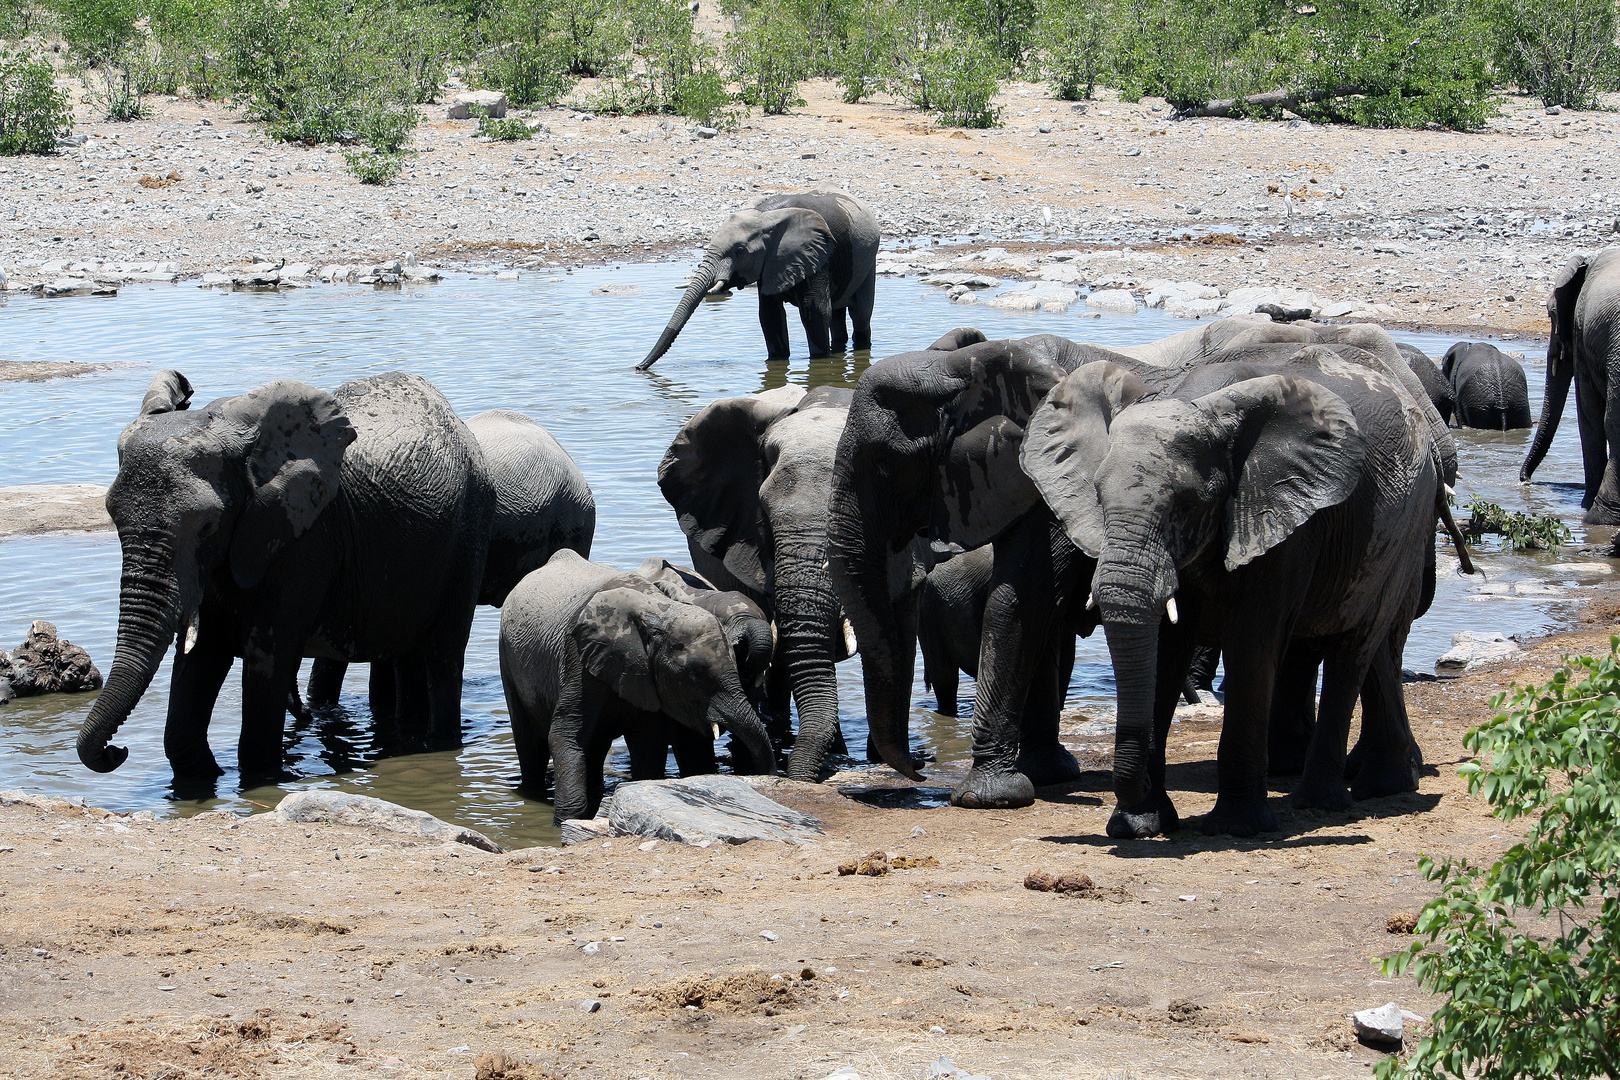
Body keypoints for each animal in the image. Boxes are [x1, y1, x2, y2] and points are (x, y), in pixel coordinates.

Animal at [78, 367, 489, 780]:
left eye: (208, 525)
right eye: (111, 515)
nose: (118, 750)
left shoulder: (306, 539)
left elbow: (267, 658)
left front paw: (259, 780)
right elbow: (202, 655)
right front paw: (208, 777)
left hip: (468, 533)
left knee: (443, 654)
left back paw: (439, 743)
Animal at [498, 553, 777, 822]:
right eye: (693, 677)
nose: (770, 778)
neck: (660, 611)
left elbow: (649, 743)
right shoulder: (577, 657)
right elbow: (567, 734)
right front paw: (566, 821)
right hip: (507, 658)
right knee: (529, 742)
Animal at [635, 187, 887, 369]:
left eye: (739, 251)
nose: (638, 367)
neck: (767, 217)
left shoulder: (817, 256)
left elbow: (814, 312)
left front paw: (821, 362)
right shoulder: (769, 264)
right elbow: (769, 316)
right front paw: (777, 361)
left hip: (868, 260)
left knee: (860, 312)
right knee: (837, 314)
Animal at [1023, 351, 1445, 841]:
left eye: (1188, 505)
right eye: (1098, 495)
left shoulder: (1280, 519)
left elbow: (1252, 643)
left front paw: (1237, 828)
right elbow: (1166, 650)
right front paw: (1140, 824)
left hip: (1407, 528)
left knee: (1354, 645)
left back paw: (1325, 801)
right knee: (1373, 649)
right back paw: (1380, 783)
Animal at [1516, 250, 1620, 524]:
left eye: (1551, 314)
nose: (1525, 481)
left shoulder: (1582, 333)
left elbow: (1589, 414)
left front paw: (1586, 504)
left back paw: (1597, 518)